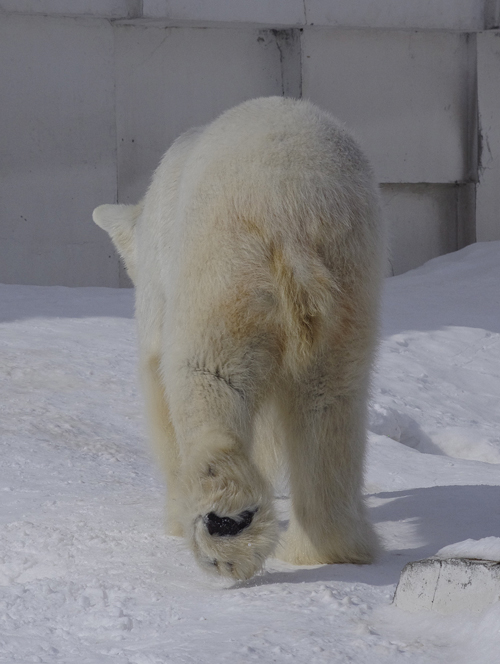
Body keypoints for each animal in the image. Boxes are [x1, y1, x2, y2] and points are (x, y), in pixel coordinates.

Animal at [92, 96, 384, 580]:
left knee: (208, 376)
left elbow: (156, 378)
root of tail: (294, 212)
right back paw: (325, 547)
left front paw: (174, 516)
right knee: (332, 399)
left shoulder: (160, 282)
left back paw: (226, 527)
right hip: (350, 277)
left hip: (225, 268)